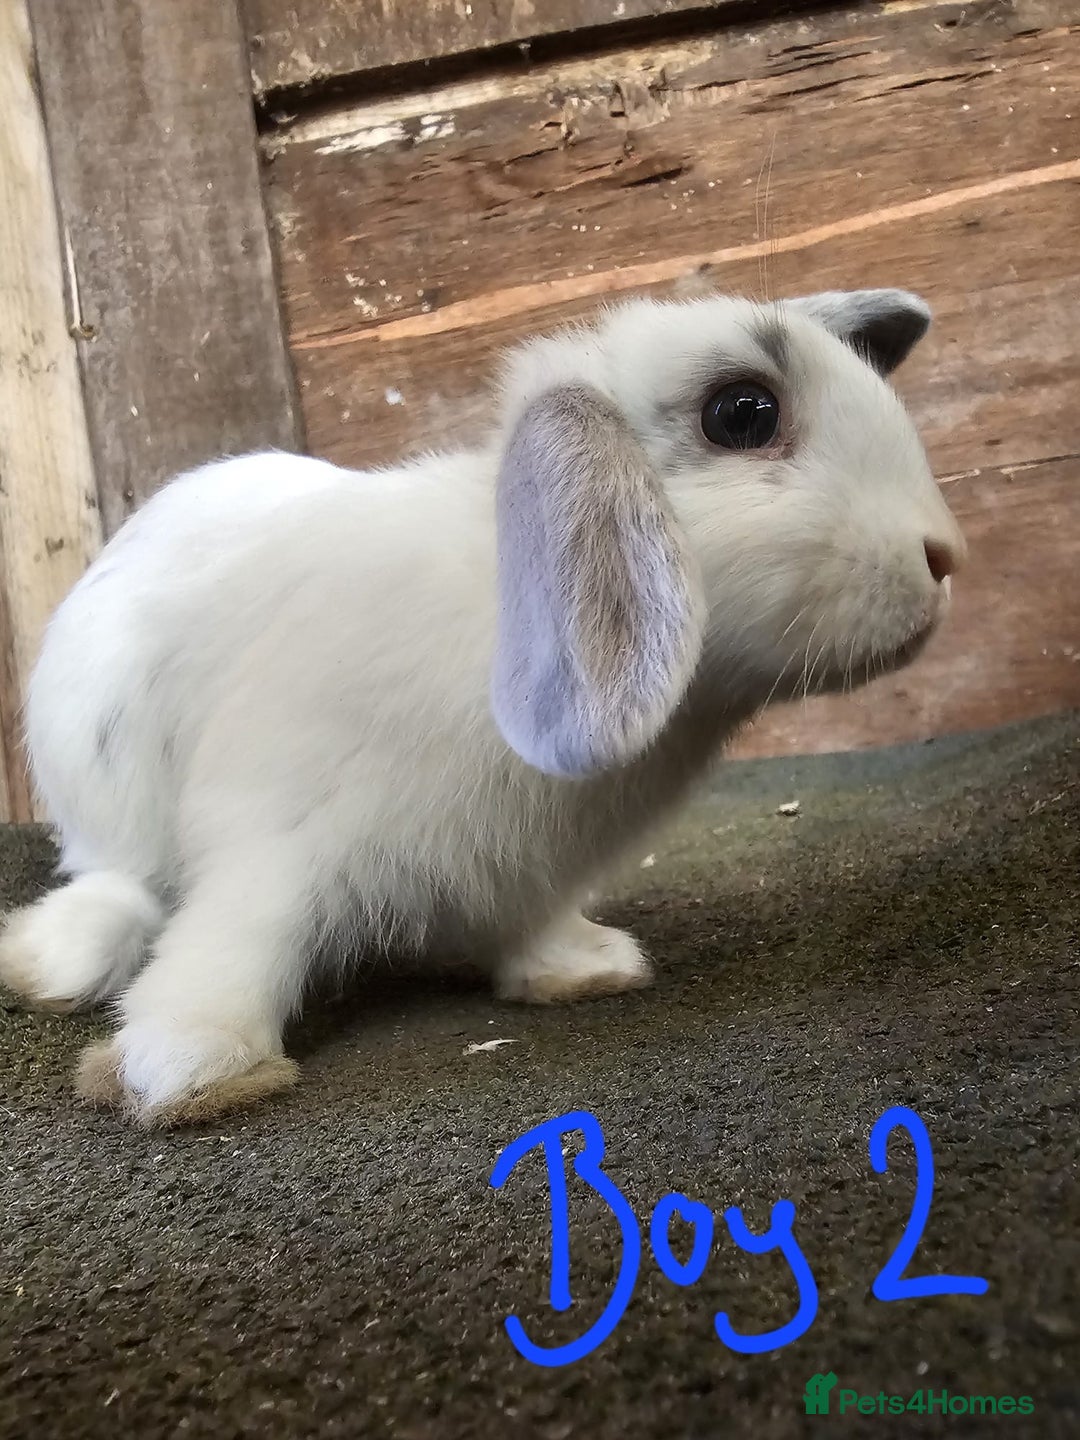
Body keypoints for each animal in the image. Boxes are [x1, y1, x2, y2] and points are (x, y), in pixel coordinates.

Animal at [0, 289, 965, 1126]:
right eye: (743, 414)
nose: (944, 556)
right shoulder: (274, 838)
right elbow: (238, 939)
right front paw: (189, 1067)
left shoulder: (526, 869)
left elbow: (530, 928)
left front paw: (586, 970)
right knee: (121, 883)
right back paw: (56, 961)